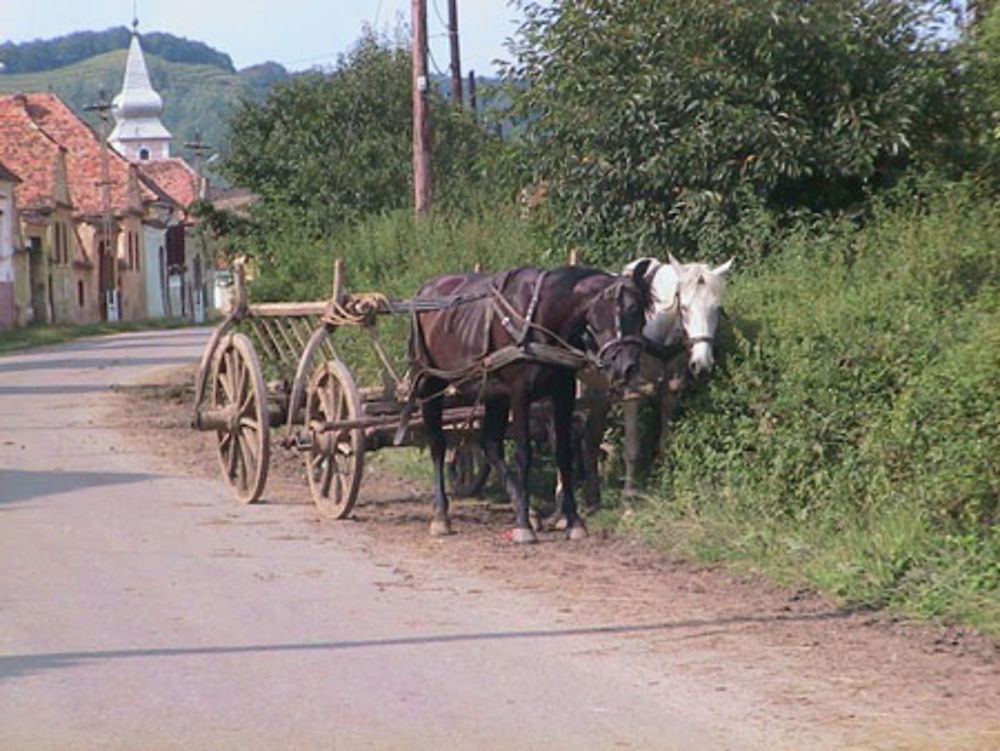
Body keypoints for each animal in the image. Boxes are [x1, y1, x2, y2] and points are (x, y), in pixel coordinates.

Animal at [406, 268, 648, 544]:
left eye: (642, 312)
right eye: (627, 308)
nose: (628, 368)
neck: (540, 316)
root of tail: (424, 290)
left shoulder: (563, 392)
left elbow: (564, 453)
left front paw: (573, 521)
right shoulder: (519, 393)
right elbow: (524, 454)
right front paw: (523, 525)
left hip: (494, 395)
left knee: (490, 445)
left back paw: (526, 507)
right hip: (430, 384)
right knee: (438, 444)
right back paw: (441, 516)